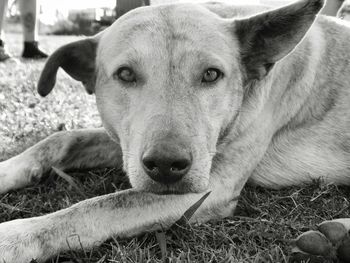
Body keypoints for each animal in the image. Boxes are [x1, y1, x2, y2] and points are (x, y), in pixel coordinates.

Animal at [0, 0, 350, 262]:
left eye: (211, 74)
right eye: (125, 74)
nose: (167, 165)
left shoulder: (211, 185)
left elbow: (100, 206)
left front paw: (13, 236)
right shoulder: (129, 144)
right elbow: (61, 139)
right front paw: (8, 170)